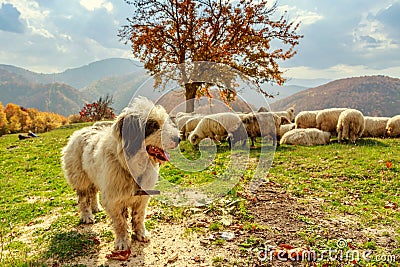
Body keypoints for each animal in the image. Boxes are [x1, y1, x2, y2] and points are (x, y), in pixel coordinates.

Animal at [61, 98, 180, 251]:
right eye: (153, 125)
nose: (178, 139)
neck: (130, 165)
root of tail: (80, 131)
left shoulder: (142, 198)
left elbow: (138, 217)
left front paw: (141, 234)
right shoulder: (114, 200)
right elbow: (120, 222)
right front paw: (123, 241)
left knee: (93, 192)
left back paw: (96, 207)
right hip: (80, 178)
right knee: (83, 199)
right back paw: (87, 215)